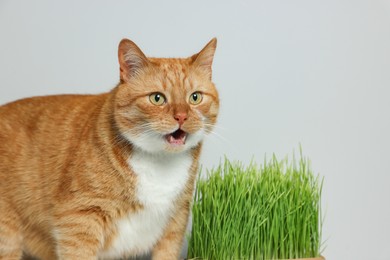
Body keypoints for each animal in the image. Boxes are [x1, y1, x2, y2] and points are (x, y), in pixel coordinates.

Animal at [0, 37, 219, 260]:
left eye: (195, 97)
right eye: (157, 98)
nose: (181, 116)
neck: (160, 163)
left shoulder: (176, 220)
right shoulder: (78, 220)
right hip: (7, 238)